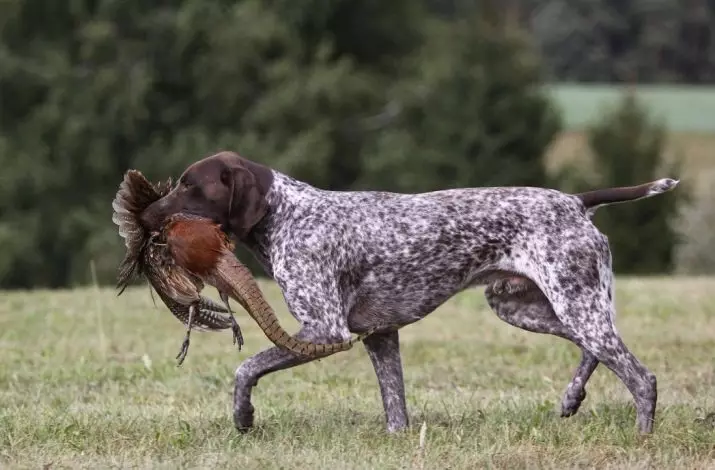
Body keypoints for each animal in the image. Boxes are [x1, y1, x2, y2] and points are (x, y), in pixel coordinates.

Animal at [141, 151, 684, 434]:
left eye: (190, 186)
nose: (144, 215)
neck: (287, 215)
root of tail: (574, 201)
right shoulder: (380, 336)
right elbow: (395, 407)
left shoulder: (325, 329)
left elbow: (246, 368)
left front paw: (244, 415)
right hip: (529, 307)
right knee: (596, 350)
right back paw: (572, 398)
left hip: (572, 302)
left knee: (641, 377)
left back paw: (641, 434)